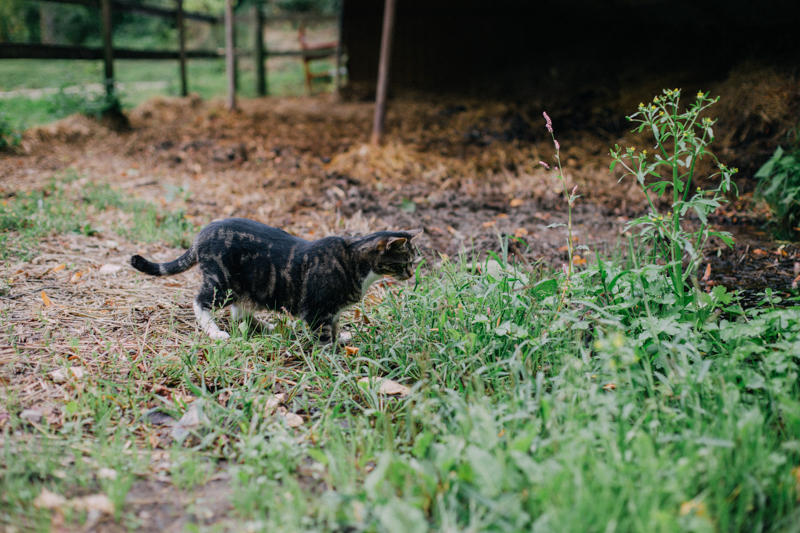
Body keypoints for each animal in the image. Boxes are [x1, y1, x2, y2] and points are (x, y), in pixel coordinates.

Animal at [128, 218, 422, 342]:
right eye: (405, 262)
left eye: (413, 262)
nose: (410, 274)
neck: (354, 257)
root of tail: (202, 233)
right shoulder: (318, 310)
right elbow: (324, 335)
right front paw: (331, 356)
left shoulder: (332, 311)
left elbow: (335, 328)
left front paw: (341, 339)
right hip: (222, 281)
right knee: (200, 302)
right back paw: (214, 331)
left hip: (249, 287)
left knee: (240, 313)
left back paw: (270, 327)